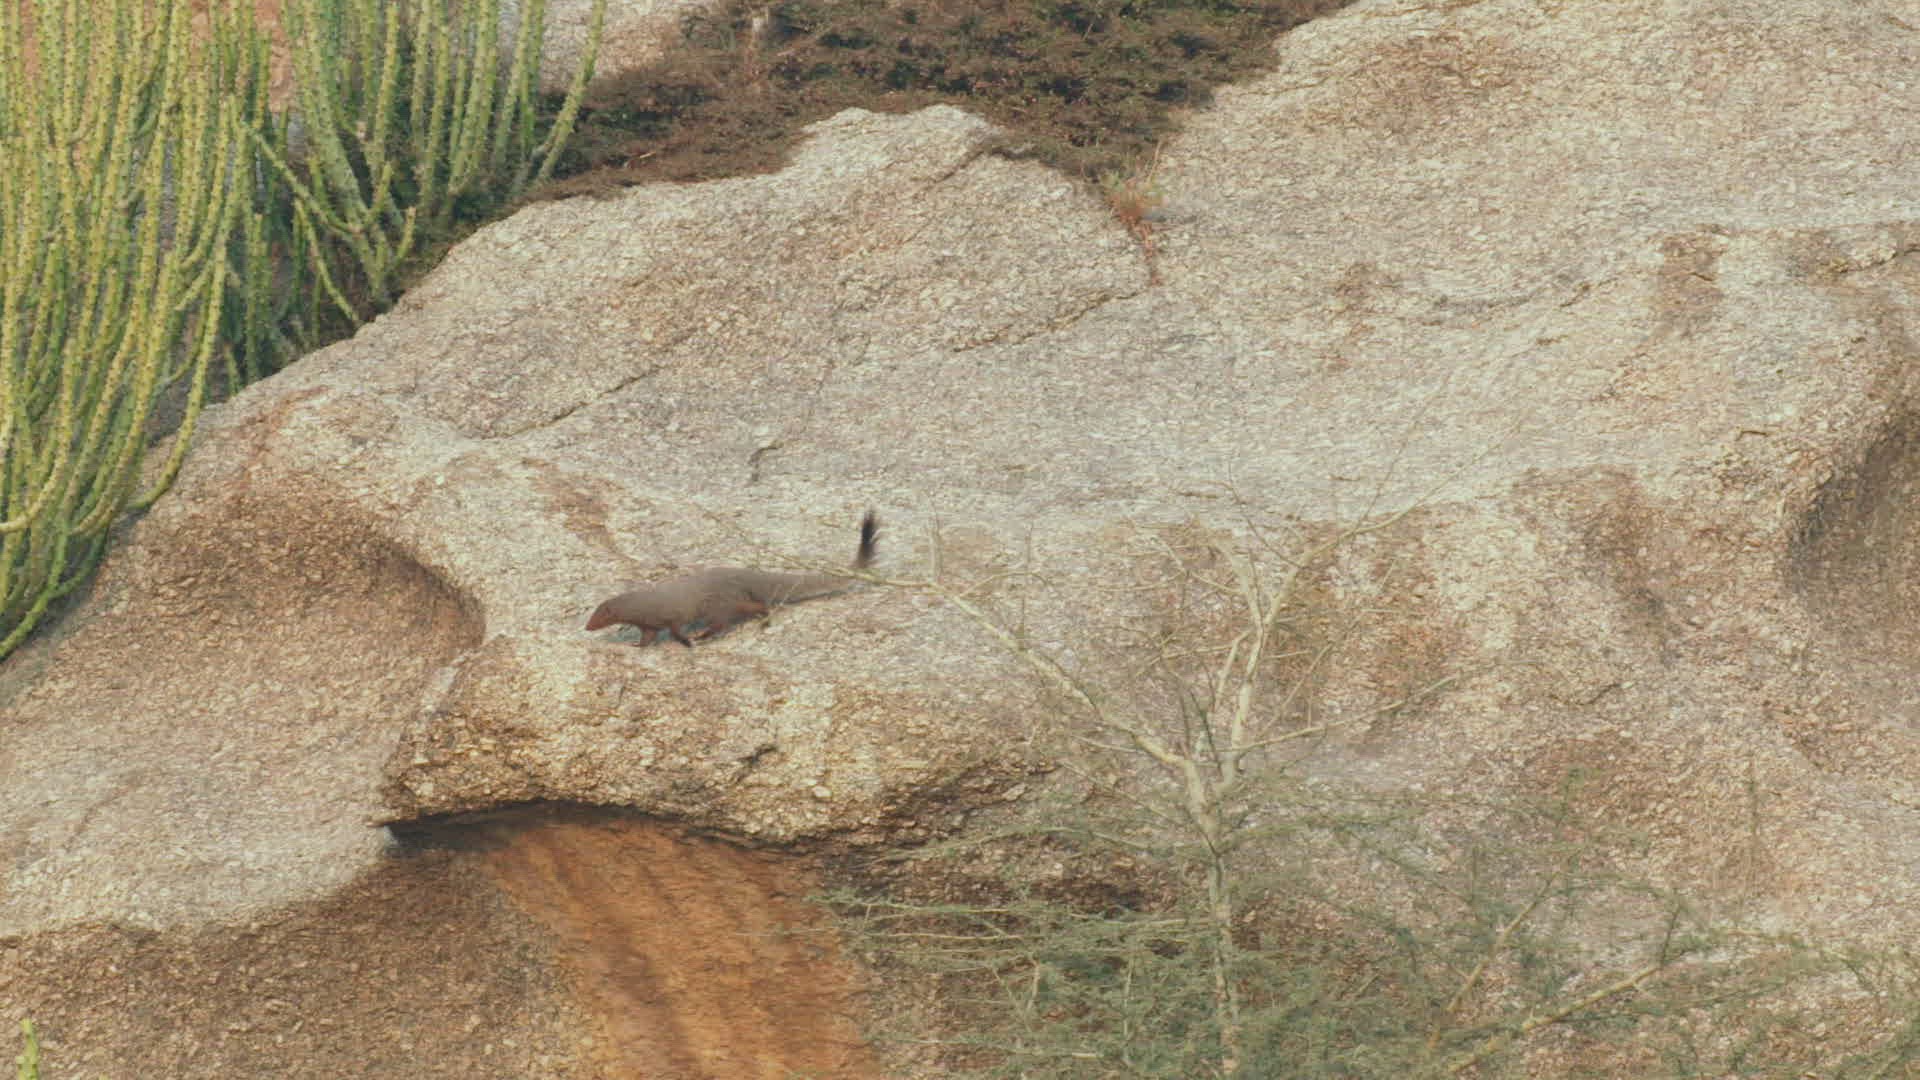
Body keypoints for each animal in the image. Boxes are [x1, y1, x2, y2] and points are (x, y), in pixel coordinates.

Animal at [585, 510, 879, 646]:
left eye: (596, 617)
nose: (586, 628)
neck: (645, 605)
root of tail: (745, 573)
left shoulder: (672, 616)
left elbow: (677, 631)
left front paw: (689, 642)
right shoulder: (649, 624)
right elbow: (647, 637)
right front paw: (636, 645)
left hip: (719, 603)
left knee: (727, 619)